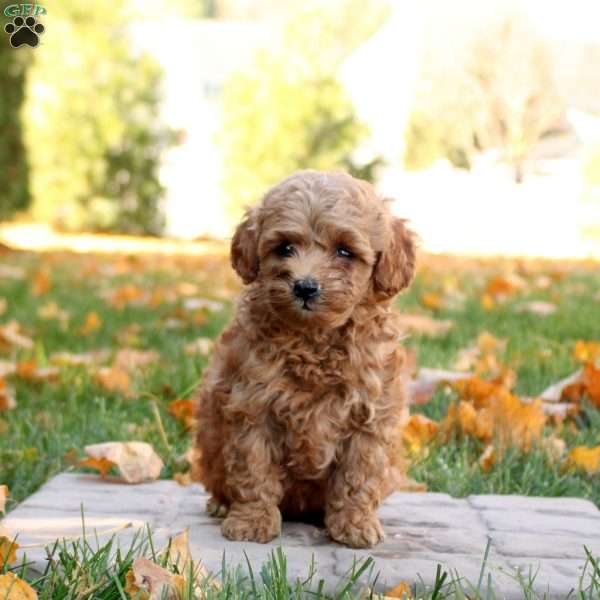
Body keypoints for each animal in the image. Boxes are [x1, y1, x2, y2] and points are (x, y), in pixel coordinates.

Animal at [195, 169, 414, 548]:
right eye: (284, 248)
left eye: (344, 251)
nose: (305, 287)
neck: (314, 341)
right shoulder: (253, 406)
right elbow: (253, 469)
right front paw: (251, 522)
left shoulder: (370, 413)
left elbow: (359, 473)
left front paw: (355, 524)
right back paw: (222, 505)